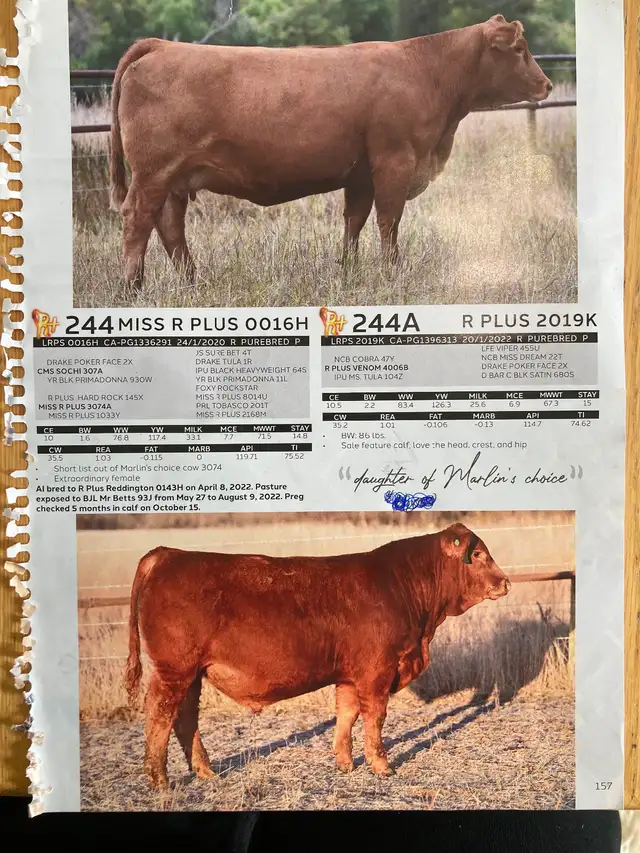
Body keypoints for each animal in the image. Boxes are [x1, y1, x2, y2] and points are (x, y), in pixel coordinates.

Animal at [109, 15, 552, 291]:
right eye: (520, 49)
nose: (546, 84)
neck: (426, 71)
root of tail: (161, 46)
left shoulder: (361, 174)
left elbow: (354, 222)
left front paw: (349, 271)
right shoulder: (395, 161)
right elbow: (389, 222)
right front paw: (393, 272)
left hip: (173, 178)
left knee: (169, 226)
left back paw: (191, 282)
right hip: (153, 172)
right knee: (138, 219)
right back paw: (132, 287)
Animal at [124, 522, 510, 789]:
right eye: (477, 555)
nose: (506, 582)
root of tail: (167, 553)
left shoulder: (350, 674)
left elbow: (347, 715)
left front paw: (345, 763)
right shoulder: (376, 670)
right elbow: (375, 718)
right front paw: (382, 766)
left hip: (191, 674)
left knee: (185, 719)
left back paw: (205, 772)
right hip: (174, 669)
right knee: (160, 714)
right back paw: (160, 781)